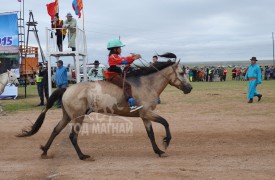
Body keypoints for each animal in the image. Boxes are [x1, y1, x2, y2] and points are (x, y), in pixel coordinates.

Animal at [17, 53, 194, 160]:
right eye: (182, 73)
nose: (190, 88)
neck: (146, 84)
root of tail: (67, 89)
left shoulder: (145, 117)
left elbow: (150, 134)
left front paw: (158, 150)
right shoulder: (147, 113)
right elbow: (166, 123)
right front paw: (166, 142)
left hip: (67, 116)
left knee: (55, 130)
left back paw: (45, 151)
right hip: (78, 117)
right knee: (72, 136)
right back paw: (82, 156)